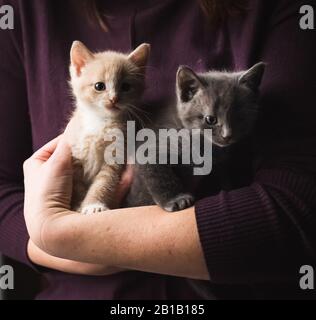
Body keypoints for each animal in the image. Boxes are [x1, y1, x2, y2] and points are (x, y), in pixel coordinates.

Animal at [65, 40, 150, 215]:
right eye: (99, 86)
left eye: (125, 86)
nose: (114, 99)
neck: (100, 122)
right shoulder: (75, 154)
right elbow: (77, 184)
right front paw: (78, 204)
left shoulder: (116, 155)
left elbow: (103, 182)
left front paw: (93, 204)